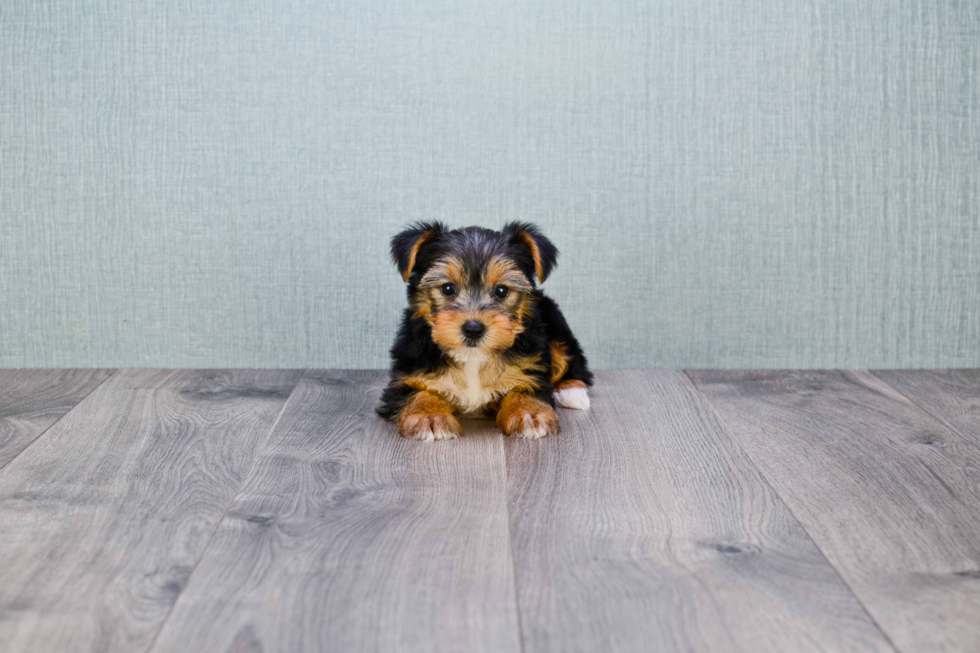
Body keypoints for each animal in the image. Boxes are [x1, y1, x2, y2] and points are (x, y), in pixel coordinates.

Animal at [376, 222, 588, 440]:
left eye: (502, 291)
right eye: (447, 288)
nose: (473, 329)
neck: (473, 358)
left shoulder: (531, 367)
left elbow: (527, 386)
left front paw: (529, 412)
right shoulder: (407, 373)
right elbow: (416, 391)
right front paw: (430, 415)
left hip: (554, 321)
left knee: (570, 358)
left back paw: (572, 391)